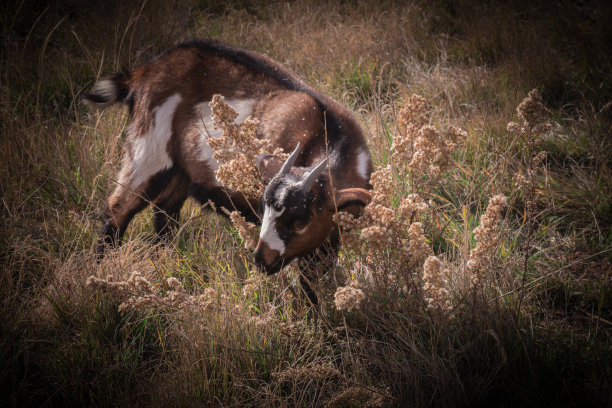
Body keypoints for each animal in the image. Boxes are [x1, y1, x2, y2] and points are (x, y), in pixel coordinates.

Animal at [85, 39, 372, 302]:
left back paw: (163, 264)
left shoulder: (329, 237)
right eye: (263, 209)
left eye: (302, 222)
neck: (330, 137)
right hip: (148, 150)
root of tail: (144, 71)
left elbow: (314, 278)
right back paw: (102, 269)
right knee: (119, 208)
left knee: (165, 214)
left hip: (180, 173)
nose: (261, 260)